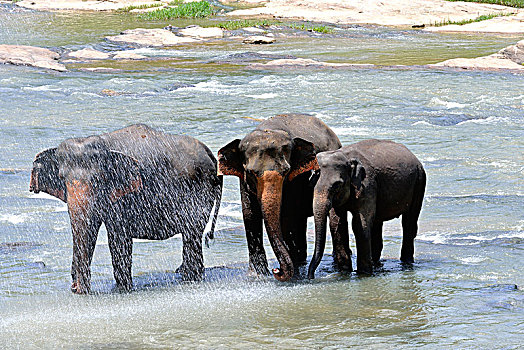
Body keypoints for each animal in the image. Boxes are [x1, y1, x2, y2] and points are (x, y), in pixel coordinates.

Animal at [29, 124, 221, 294]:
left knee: (192, 233)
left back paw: (191, 278)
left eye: (99, 179)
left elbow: (117, 237)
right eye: (62, 178)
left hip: (200, 188)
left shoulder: (123, 195)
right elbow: (91, 230)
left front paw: (123, 289)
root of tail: (210, 153)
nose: (75, 288)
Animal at [216, 113, 342, 284]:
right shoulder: (244, 181)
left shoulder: (295, 179)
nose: (276, 270)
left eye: (286, 171)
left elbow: (286, 216)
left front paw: (292, 275)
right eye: (251, 172)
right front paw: (257, 275)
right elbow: (250, 215)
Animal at [308, 139, 426, 278]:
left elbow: (360, 224)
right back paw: (376, 263)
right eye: (312, 182)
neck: (346, 156)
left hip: (419, 182)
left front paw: (363, 273)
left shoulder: (367, 184)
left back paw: (406, 263)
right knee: (377, 223)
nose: (310, 276)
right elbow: (337, 223)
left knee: (409, 222)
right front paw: (344, 272)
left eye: (337, 185)